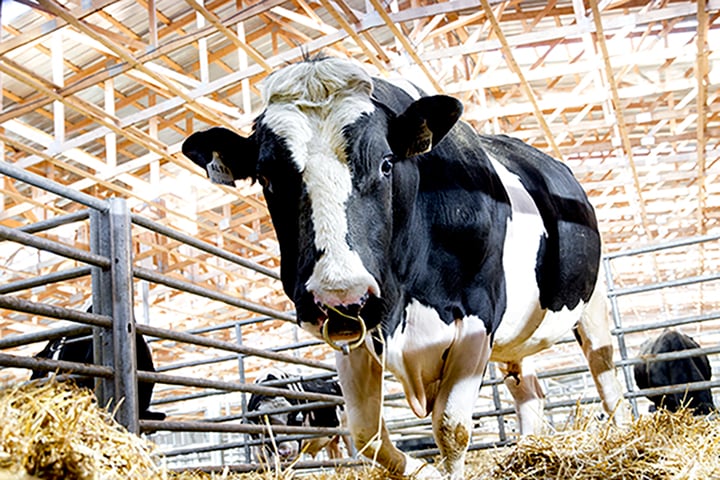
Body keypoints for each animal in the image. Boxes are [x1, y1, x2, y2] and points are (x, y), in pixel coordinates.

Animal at [182, 55, 631, 479]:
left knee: (607, 378)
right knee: (529, 390)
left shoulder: (477, 319)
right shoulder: (356, 335)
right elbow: (366, 434)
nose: (341, 296)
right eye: (266, 178)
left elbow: (451, 427)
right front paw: (423, 470)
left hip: (592, 304)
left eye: (386, 163)